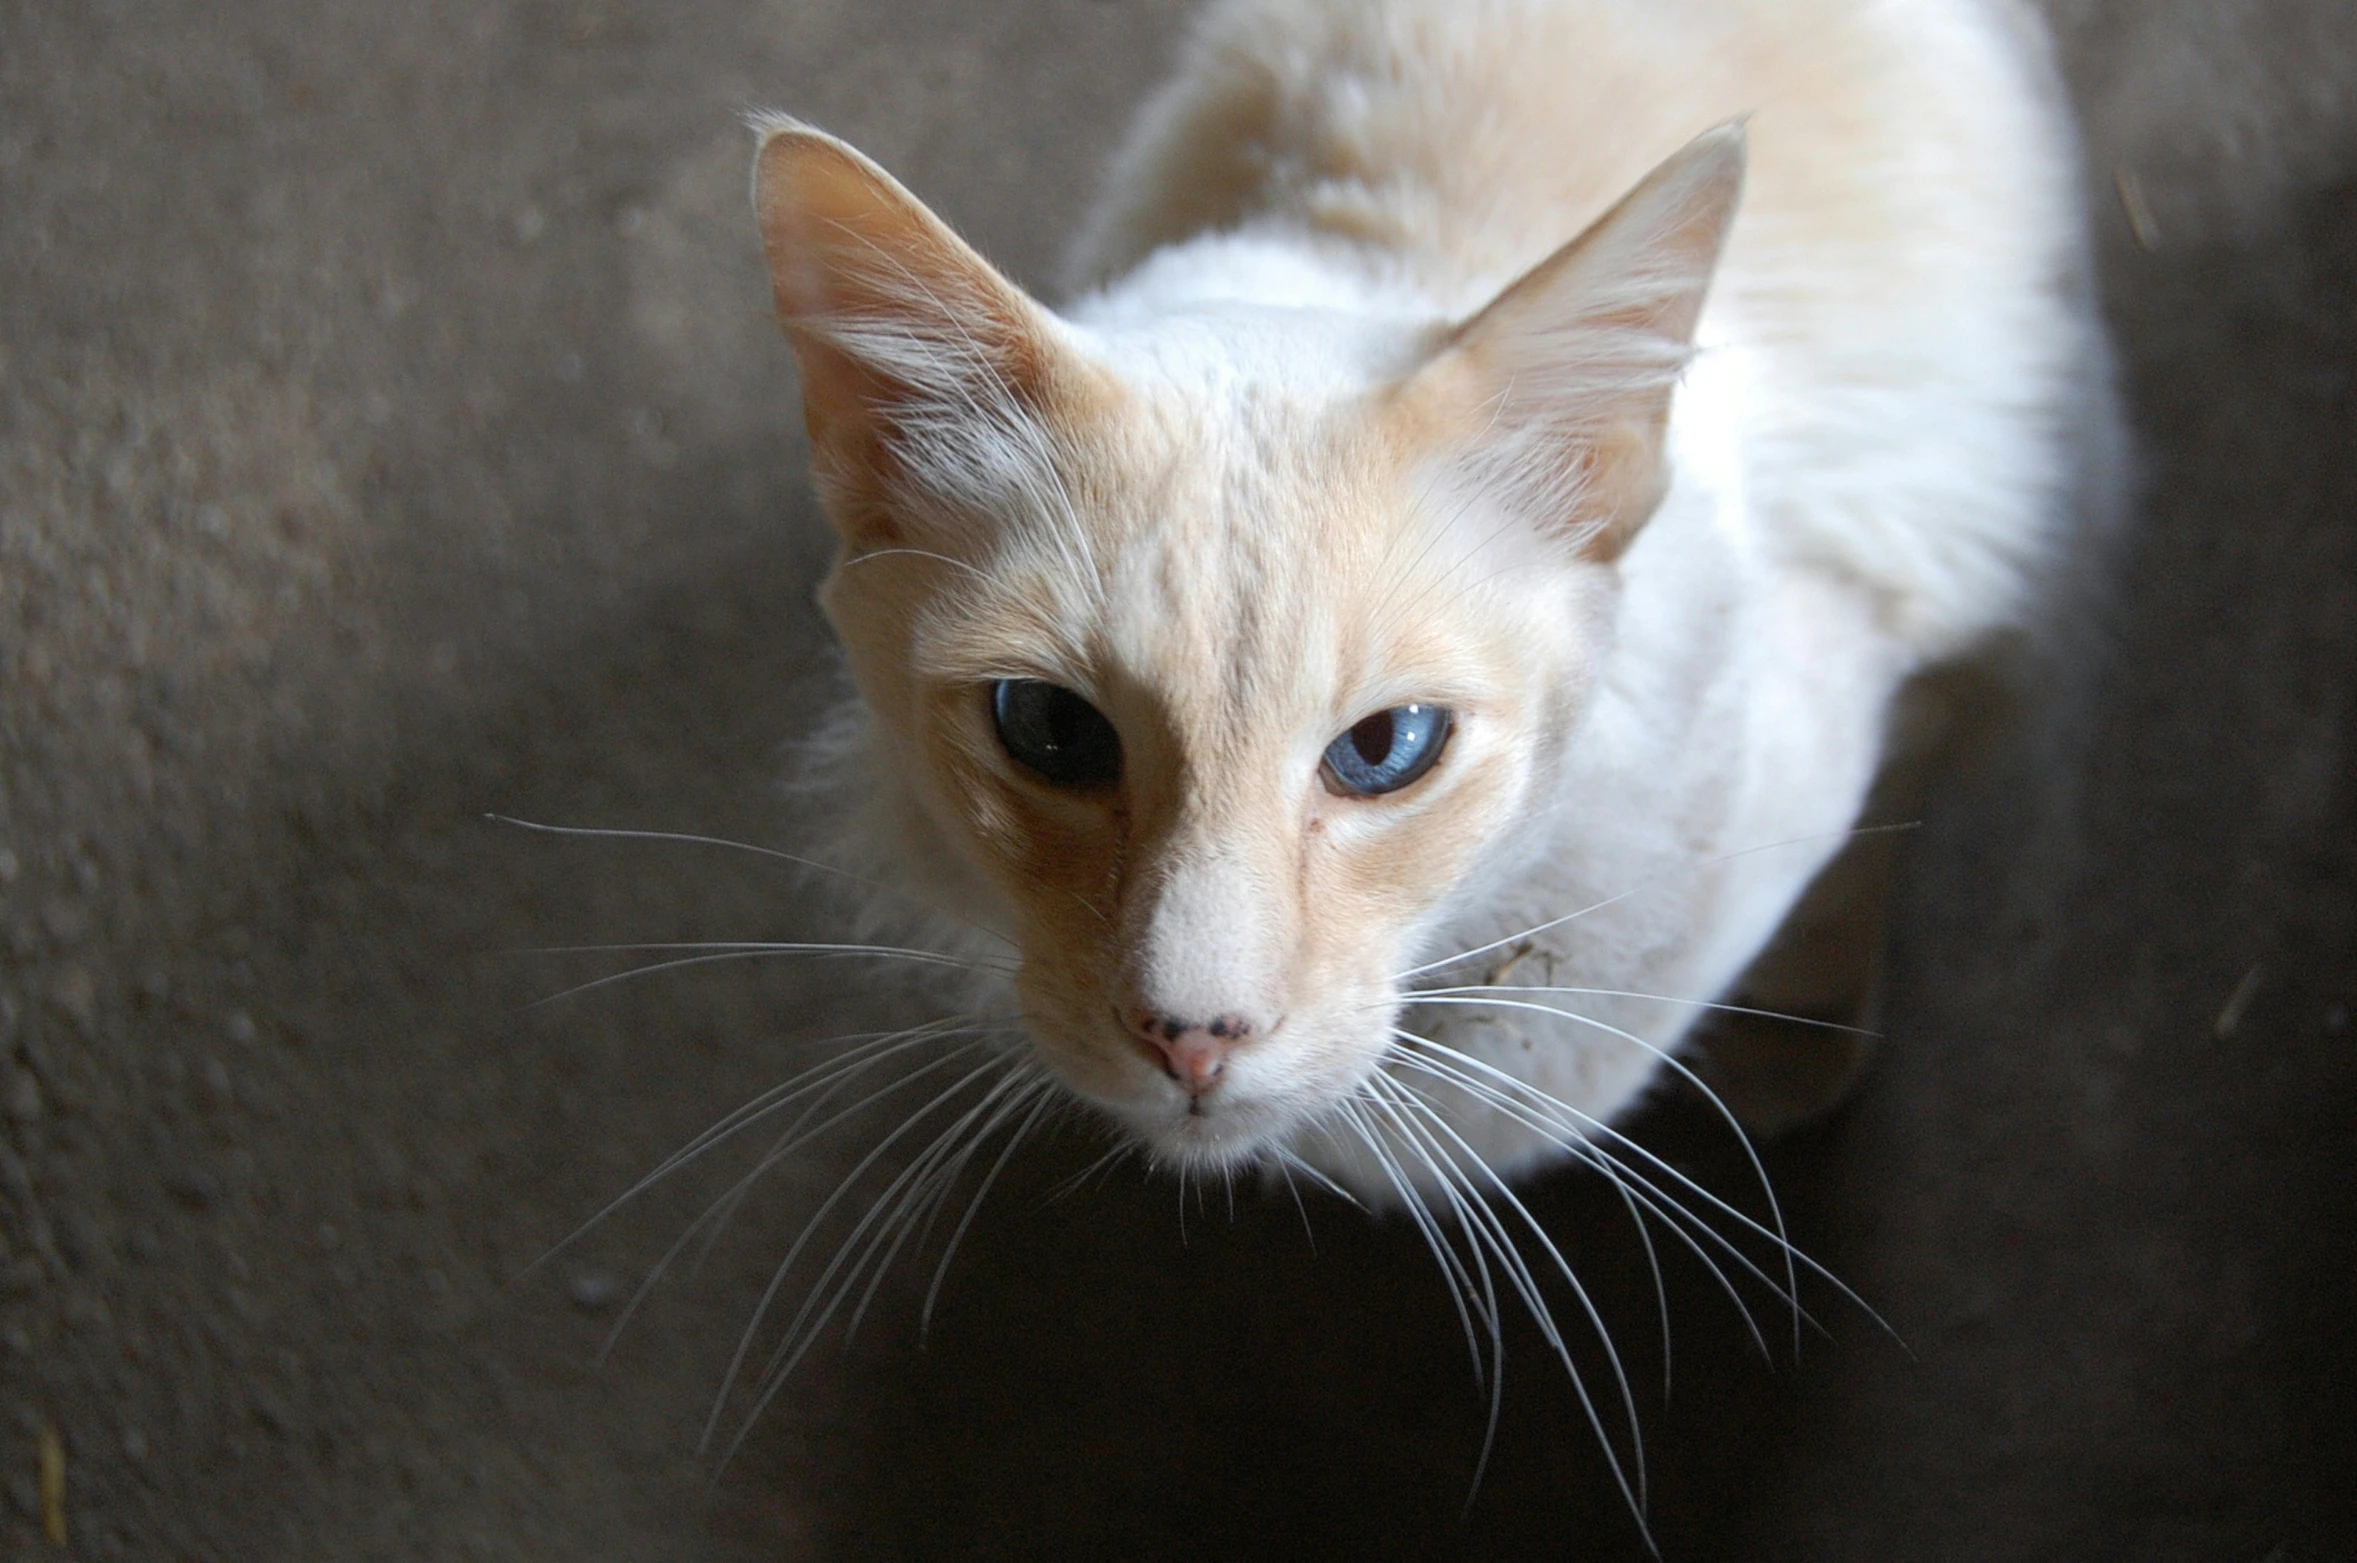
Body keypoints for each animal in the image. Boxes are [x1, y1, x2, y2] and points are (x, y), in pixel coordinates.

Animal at [744, 0, 2111, 1225]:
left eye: (1385, 750)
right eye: (1049, 732)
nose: (1191, 1039)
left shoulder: (1902, 648)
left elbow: (1848, 873)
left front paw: (1796, 1048)